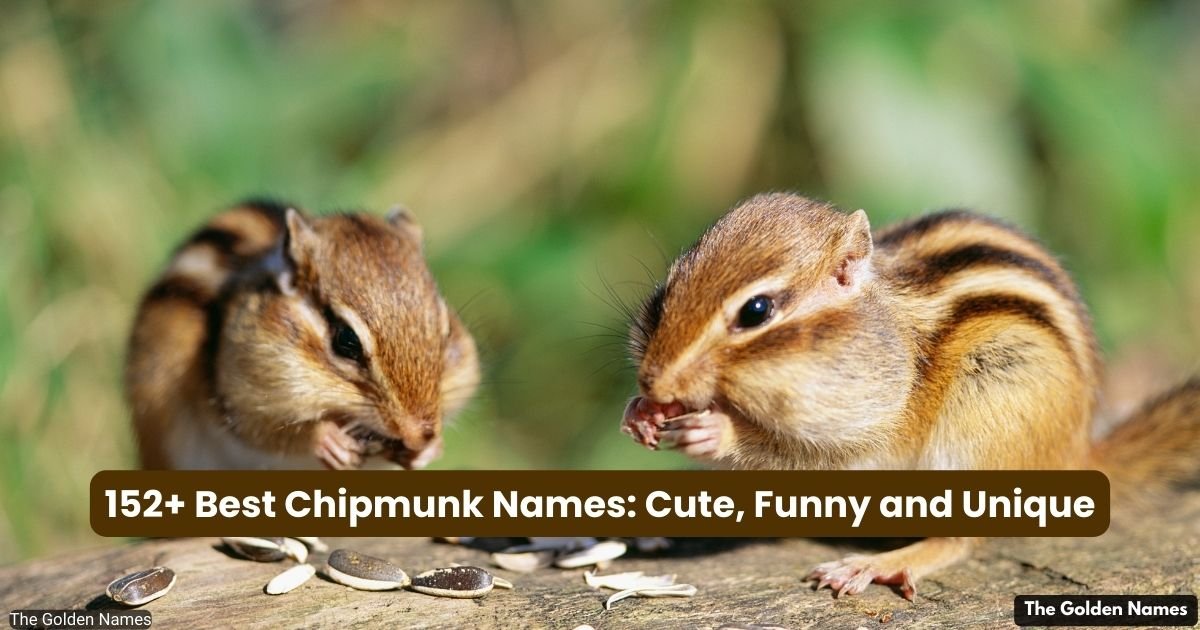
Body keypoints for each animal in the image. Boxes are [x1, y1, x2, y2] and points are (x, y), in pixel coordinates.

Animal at [126, 199, 479, 470]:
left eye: (446, 331)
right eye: (346, 341)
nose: (419, 434)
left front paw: (428, 450)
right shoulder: (239, 398)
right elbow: (266, 432)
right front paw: (326, 440)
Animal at [621, 192, 1200, 600]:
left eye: (756, 311)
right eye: (665, 292)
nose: (654, 382)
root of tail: (1075, 456)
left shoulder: (867, 420)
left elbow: (807, 452)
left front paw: (712, 430)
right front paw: (640, 414)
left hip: (982, 434)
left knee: (959, 540)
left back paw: (875, 563)